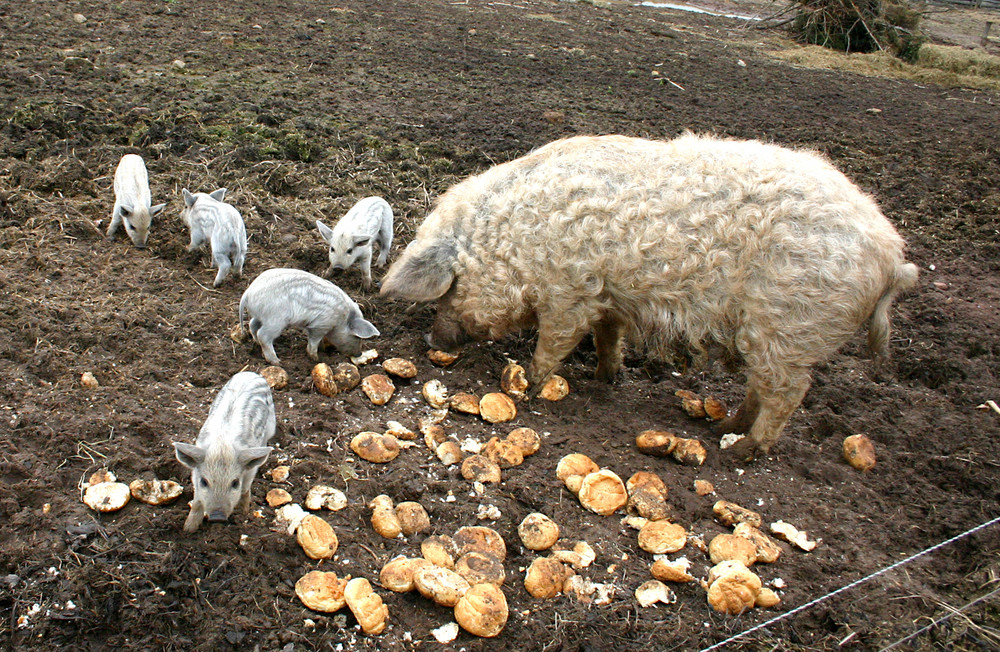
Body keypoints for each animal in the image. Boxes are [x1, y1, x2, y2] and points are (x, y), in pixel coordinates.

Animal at [382, 132, 920, 458]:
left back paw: (740, 449)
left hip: (787, 323)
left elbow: (553, 344)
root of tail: (892, 256)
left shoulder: (569, 292)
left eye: (448, 292)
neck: (515, 241)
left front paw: (529, 385)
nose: (433, 342)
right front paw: (608, 378)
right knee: (763, 387)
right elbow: (608, 337)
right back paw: (725, 427)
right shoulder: (606, 295)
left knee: (788, 392)